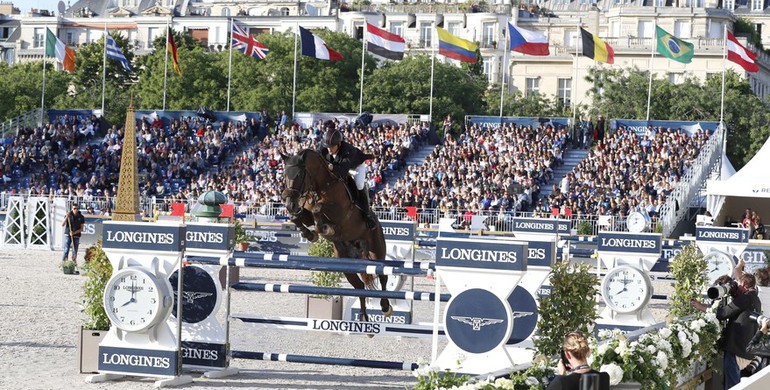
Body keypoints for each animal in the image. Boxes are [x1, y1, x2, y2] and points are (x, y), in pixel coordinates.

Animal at [280, 148, 390, 322]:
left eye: (299, 175)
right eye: (284, 175)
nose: (290, 204)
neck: (321, 186)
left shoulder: (339, 212)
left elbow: (318, 209)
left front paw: (324, 229)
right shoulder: (306, 213)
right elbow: (297, 217)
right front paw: (310, 234)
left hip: (377, 253)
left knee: (383, 277)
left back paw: (385, 308)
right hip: (346, 264)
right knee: (359, 287)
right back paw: (363, 317)